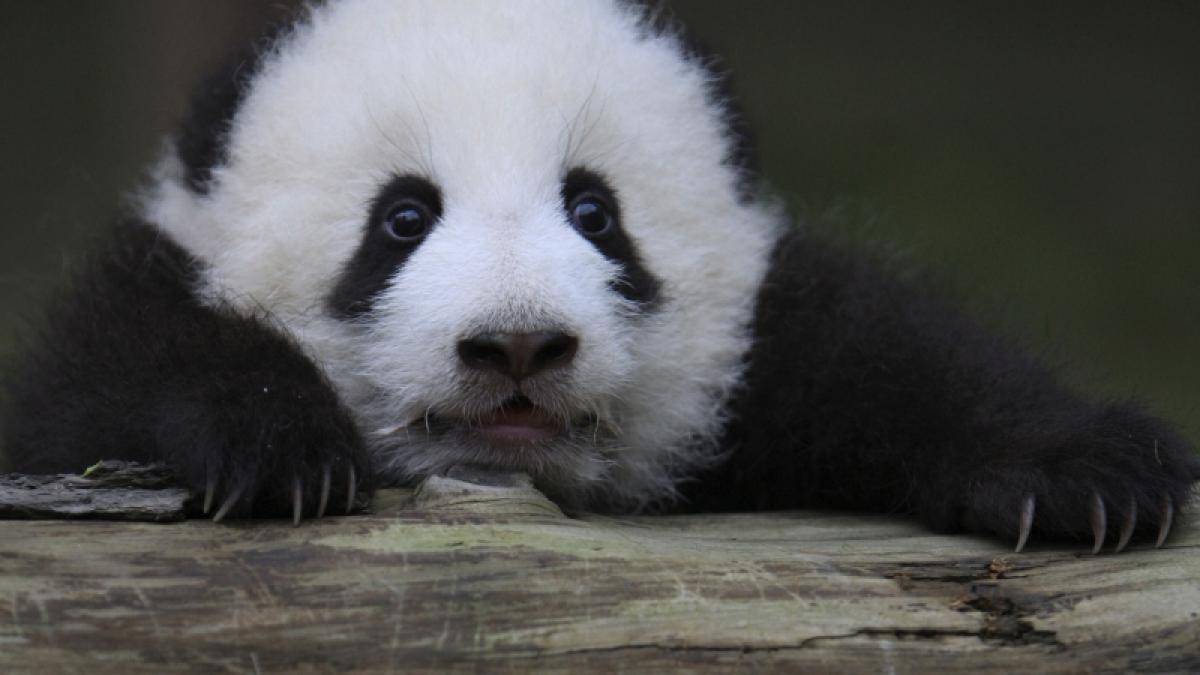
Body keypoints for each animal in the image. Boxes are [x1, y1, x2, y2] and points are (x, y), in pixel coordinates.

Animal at [3, 0, 1197, 553]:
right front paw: (275, 445)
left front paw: (1085, 477)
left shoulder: (763, 339)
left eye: (595, 212)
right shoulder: (141, 294)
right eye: (402, 219)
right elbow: (91, 389)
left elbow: (889, 351)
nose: (518, 344)